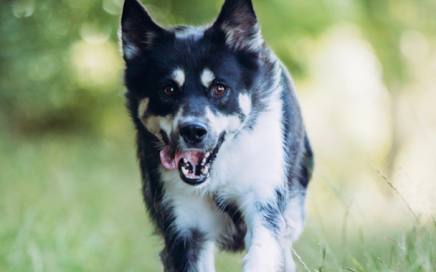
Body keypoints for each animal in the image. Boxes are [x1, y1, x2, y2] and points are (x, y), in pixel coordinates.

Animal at [120, 0, 314, 270]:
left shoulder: (264, 205)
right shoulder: (184, 230)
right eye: (167, 90)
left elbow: (262, 252)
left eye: (219, 88)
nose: (193, 130)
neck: (217, 175)